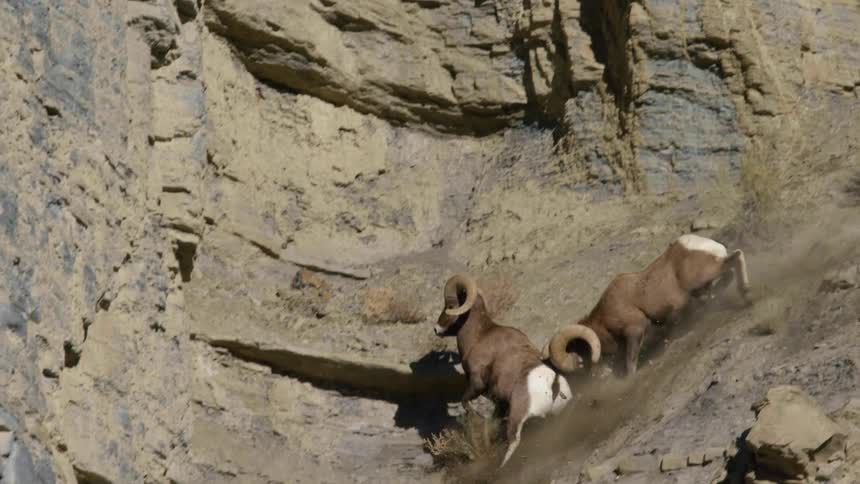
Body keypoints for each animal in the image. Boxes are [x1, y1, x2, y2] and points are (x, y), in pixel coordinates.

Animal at [434, 273, 601, 467]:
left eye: (450, 306)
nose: (436, 329)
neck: (479, 336)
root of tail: (553, 384)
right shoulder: (499, 403)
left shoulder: (477, 384)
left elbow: (466, 404)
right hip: (556, 416)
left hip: (517, 420)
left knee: (513, 444)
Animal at [555, 233, 750, 376]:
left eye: (582, 350)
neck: (604, 318)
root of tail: (707, 246)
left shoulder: (635, 330)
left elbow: (630, 364)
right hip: (701, 286)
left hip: (704, 275)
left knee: (737, 257)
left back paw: (746, 294)